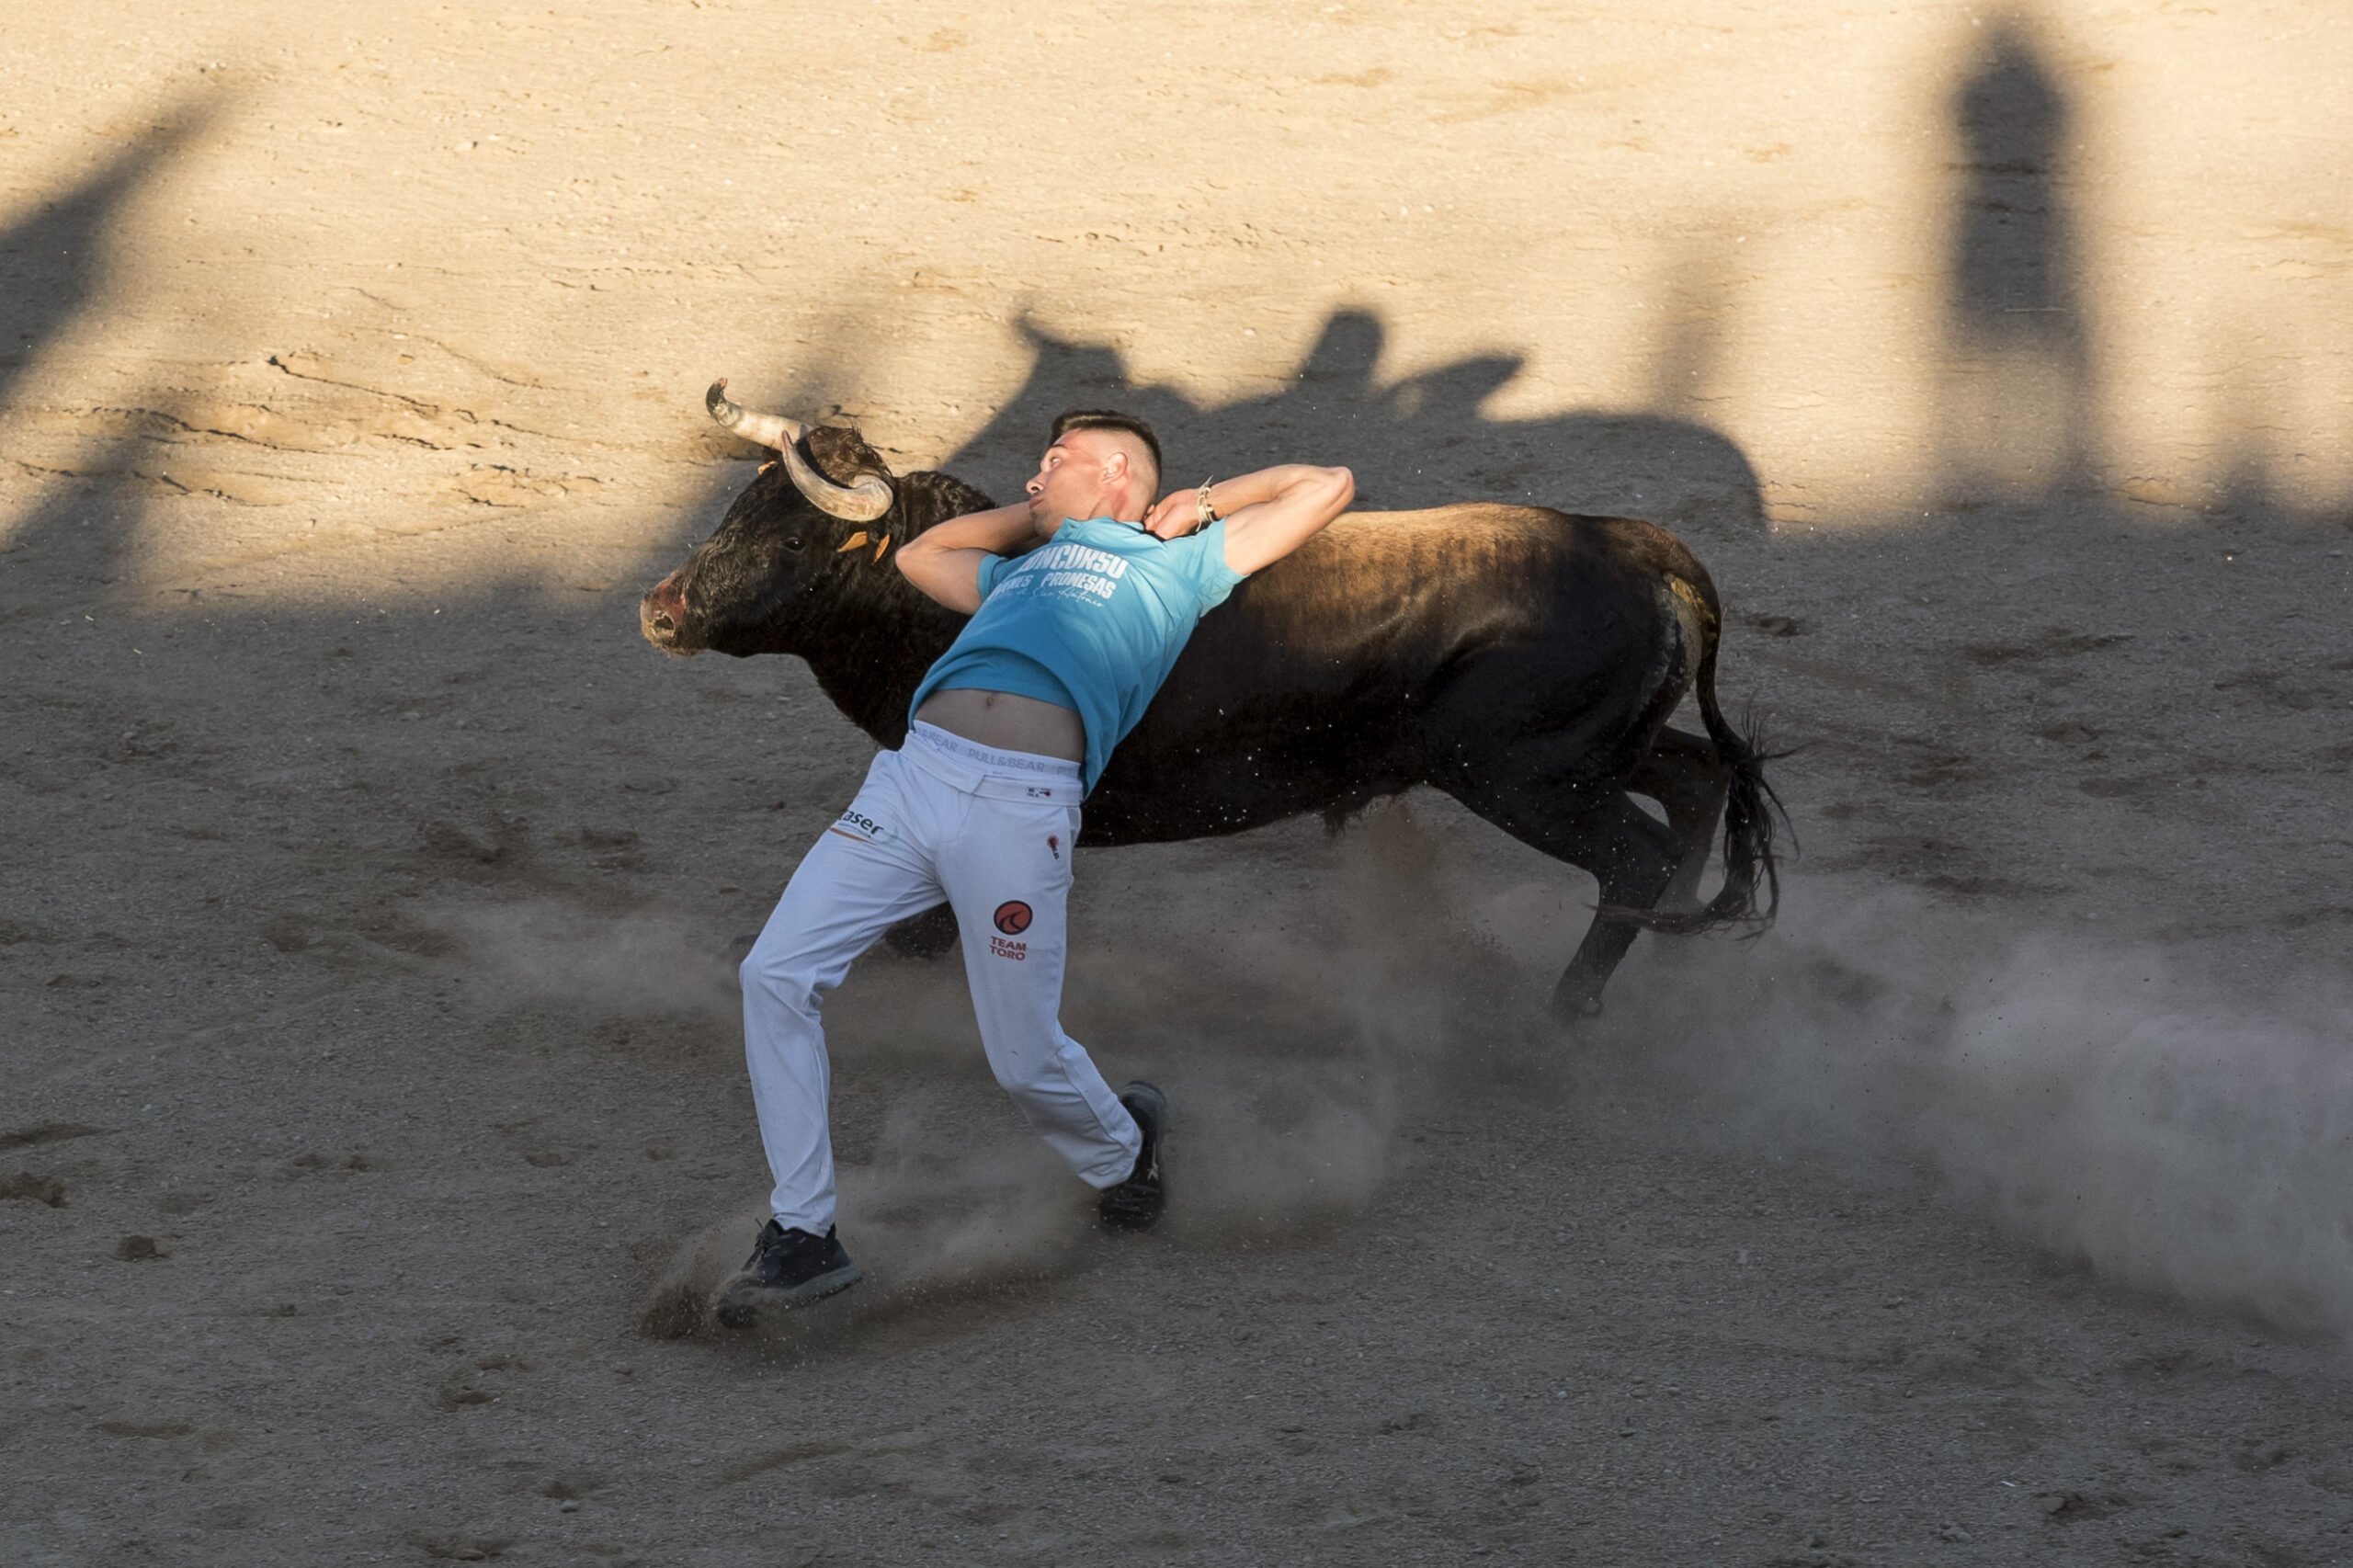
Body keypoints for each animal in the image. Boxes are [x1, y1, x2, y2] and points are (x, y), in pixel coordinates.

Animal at [635, 379, 1769, 1012]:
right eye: (737, 503)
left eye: (794, 538)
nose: (659, 611)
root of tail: (1633, 544)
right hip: (1593, 753)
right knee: (1699, 781)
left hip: (1522, 775)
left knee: (1637, 851)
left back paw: (1566, 1014)